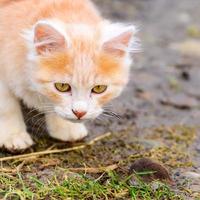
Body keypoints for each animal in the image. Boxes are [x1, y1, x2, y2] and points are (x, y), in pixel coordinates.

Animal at [0, 0, 138, 150]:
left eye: (99, 88)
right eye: (62, 86)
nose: (79, 113)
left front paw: (65, 127)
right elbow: (7, 107)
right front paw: (13, 135)